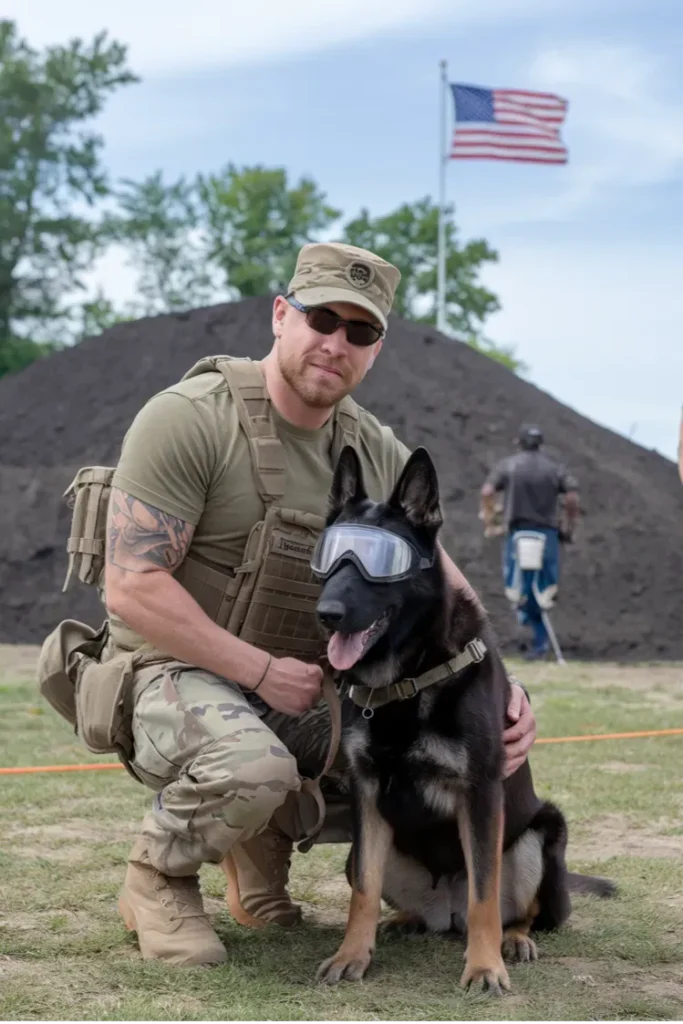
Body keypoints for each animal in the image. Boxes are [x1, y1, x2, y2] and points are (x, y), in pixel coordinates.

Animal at [313, 446, 610, 991]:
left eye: (380, 564)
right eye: (332, 557)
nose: (327, 613)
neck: (408, 677)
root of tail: (443, 910)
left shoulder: (480, 795)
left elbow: (484, 894)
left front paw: (484, 966)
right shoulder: (368, 795)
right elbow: (363, 890)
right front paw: (351, 955)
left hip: (540, 835)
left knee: (513, 909)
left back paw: (513, 940)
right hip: (371, 850)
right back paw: (404, 921)